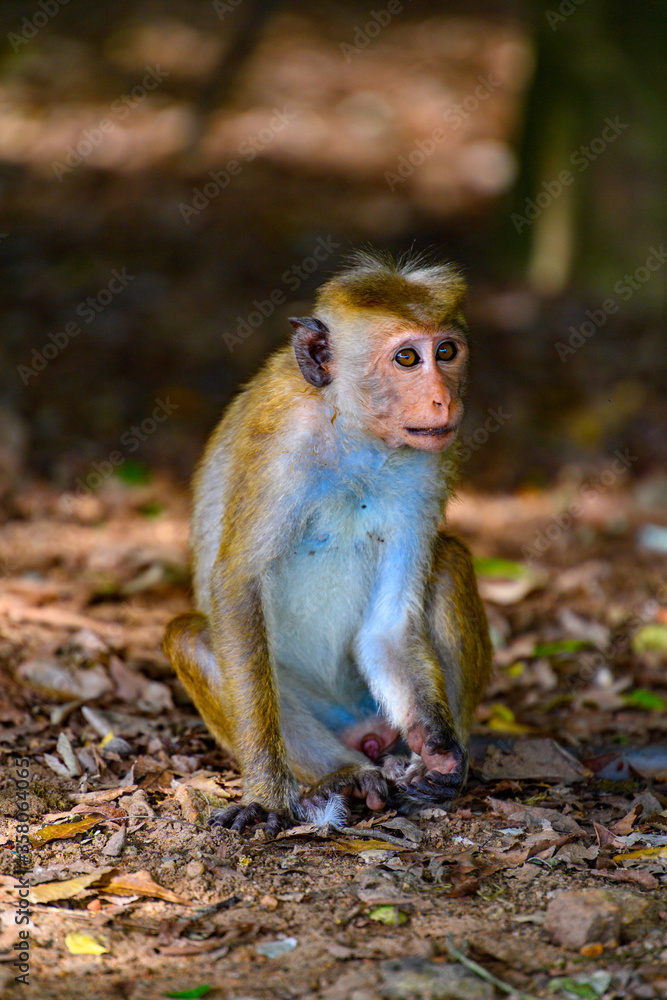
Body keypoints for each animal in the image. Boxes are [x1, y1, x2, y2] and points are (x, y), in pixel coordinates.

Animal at [164, 250, 494, 836]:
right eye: (407, 357)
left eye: (446, 352)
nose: (442, 398)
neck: (356, 436)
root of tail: (364, 730)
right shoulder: (280, 451)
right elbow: (236, 588)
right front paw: (268, 795)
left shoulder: (427, 469)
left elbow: (390, 626)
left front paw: (439, 749)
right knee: (193, 636)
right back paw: (344, 775)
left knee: (449, 561)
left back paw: (431, 775)